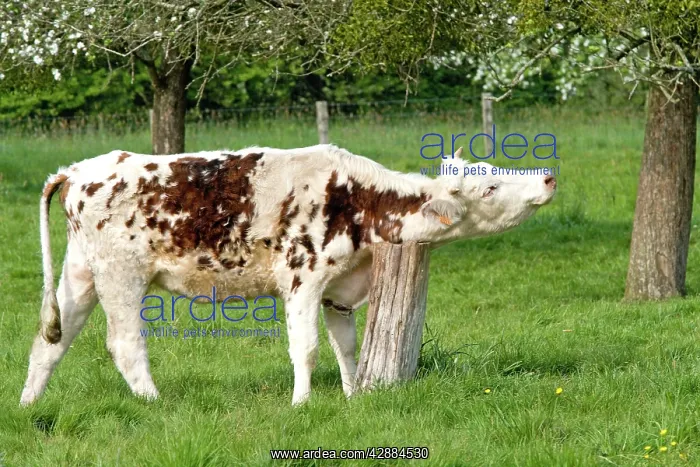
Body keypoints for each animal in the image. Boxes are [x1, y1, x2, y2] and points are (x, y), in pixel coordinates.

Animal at [20, 144, 556, 407]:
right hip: (121, 276)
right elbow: (307, 347)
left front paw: (353, 395)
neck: (359, 199)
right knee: (125, 343)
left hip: (80, 274)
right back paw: (155, 403)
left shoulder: (339, 289)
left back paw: (28, 406)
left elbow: (347, 346)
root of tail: (78, 169)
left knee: (51, 341)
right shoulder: (304, 277)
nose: (548, 177)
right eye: (489, 187)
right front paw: (302, 403)